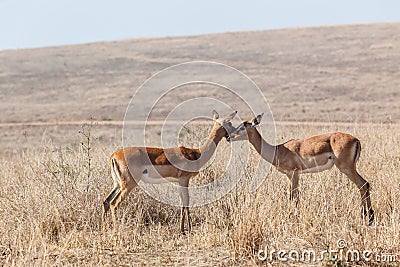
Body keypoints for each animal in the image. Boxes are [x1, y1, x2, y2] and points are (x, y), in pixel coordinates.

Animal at [101, 110, 238, 233]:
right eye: (229, 123)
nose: (235, 133)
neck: (197, 153)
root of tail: (114, 156)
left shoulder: (178, 182)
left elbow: (182, 203)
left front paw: (182, 229)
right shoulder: (184, 179)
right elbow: (186, 202)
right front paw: (188, 229)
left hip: (117, 184)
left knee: (106, 201)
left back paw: (104, 227)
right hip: (129, 184)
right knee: (114, 203)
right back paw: (116, 229)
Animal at [228, 114, 376, 225]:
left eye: (242, 126)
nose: (229, 137)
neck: (279, 150)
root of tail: (356, 140)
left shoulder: (294, 173)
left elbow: (293, 197)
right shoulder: (290, 176)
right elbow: (294, 196)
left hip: (346, 168)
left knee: (362, 184)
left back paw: (367, 218)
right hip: (350, 168)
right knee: (365, 184)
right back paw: (369, 217)